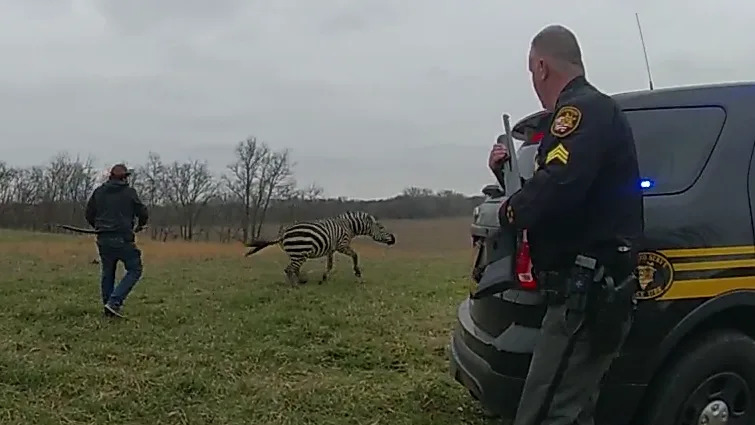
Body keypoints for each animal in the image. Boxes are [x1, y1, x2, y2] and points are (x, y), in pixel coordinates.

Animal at [244, 211, 398, 286]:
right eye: (381, 228)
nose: (394, 239)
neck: (348, 226)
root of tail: (283, 233)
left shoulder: (331, 249)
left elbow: (329, 265)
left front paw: (323, 279)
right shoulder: (342, 245)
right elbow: (355, 255)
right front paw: (358, 273)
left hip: (296, 254)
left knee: (294, 269)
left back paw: (301, 281)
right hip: (300, 253)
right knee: (289, 269)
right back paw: (295, 285)